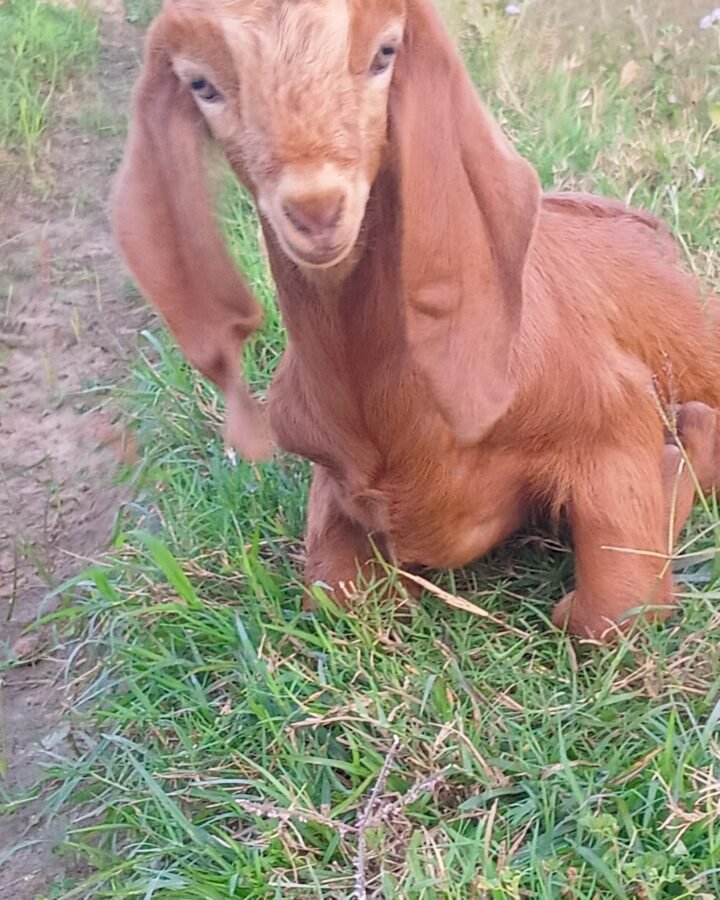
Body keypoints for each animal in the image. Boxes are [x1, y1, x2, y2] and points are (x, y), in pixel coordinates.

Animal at [113, 0, 720, 639]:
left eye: (386, 52)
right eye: (200, 84)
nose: (316, 211)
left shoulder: (611, 415)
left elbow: (609, 612)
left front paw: (682, 451)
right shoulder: (335, 480)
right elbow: (335, 592)